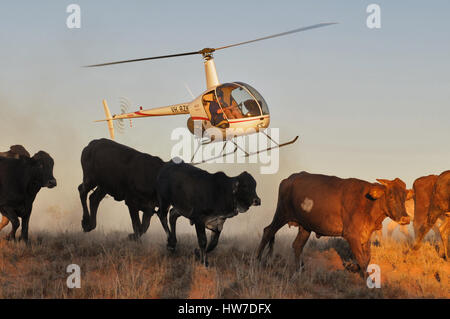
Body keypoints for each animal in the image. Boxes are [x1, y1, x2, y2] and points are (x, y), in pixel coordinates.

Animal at [256, 172, 412, 278]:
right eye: (390, 196)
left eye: (404, 197)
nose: (405, 218)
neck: (369, 203)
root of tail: (289, 179)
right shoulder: (351, 235)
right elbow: (362, 259)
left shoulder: (365, 236)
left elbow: (366, 258)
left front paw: (353, 267)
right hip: (282, 214)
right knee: (268, 231)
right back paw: (257, 260)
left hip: (305, 227)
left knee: (297, 245)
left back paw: (300, 270)